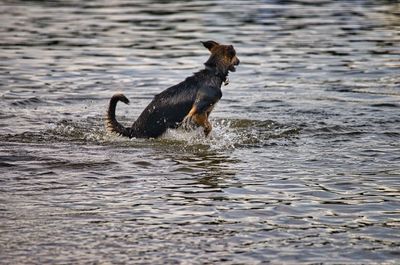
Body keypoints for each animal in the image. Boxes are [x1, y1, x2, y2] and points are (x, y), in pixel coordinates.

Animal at [104, 41, 239, 138]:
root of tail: (132, 129)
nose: (239, 61)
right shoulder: (199, 110)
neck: (213, 72)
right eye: (235, 55)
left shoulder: (204, 113)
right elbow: (206, 124)